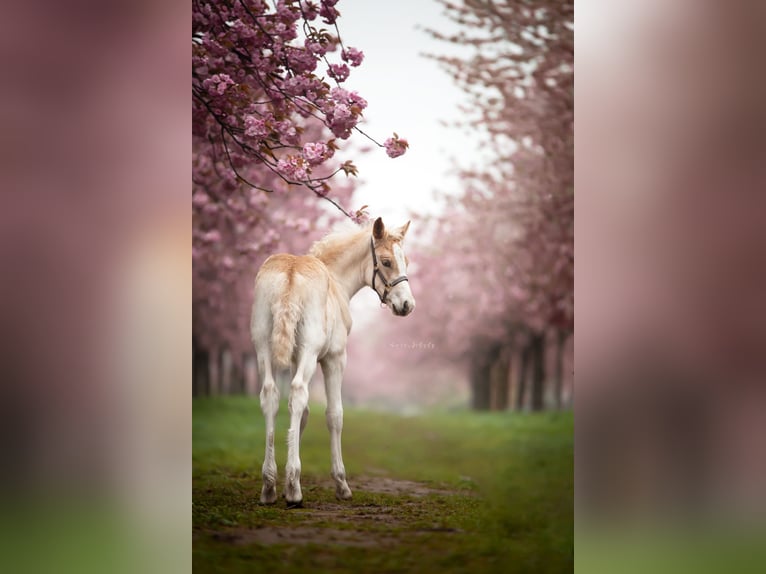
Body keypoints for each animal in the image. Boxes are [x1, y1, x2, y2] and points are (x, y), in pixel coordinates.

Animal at [250, 217, 414, 508]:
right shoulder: (334, 358)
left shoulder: (295, 358)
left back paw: (269, 486)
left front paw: (285, 477)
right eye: (386, 262)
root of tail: (291, 273)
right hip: (311, 352)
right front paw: (340, 483)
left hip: (264, 349)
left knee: (271, 395)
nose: (407, 304)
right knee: (298, 392)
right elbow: (334, 415)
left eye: (404, 259)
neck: (335, 281)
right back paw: (294, 491)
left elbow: (302, 414)